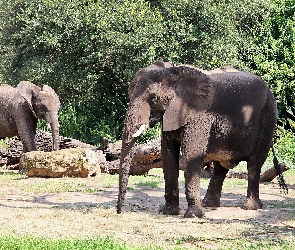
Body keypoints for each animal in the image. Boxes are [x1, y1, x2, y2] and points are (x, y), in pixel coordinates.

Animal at [117, 62, 278, 217]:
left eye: (154, 98)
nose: (120, 211)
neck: (172, 73)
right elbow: (168, 156)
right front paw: (169, 212)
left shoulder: (199, 115)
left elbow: (191, 154)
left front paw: (194, 215)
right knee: (220, 167)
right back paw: (209, 205)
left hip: (268, 118)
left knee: (254, 164)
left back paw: (250, 207)